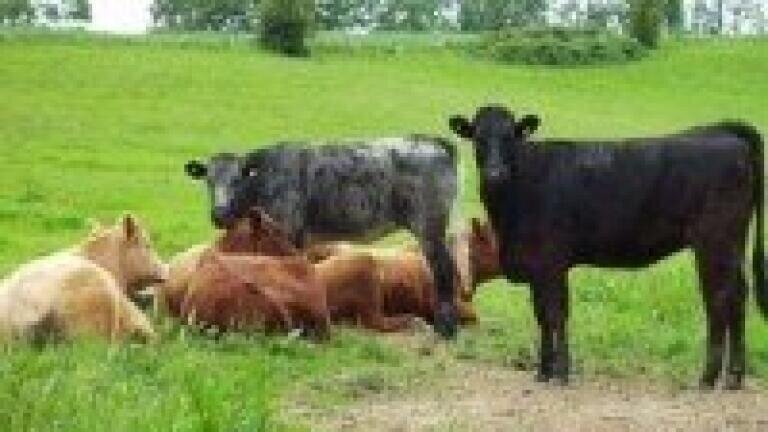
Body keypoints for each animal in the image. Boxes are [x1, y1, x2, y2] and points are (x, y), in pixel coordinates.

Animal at [184, 136, 460, 337]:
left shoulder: (289, 232)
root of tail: (434, 142)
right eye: (209, 181)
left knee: (443, 270)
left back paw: (446, 328)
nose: (218, 213)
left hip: (429, 227)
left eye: (236, 180)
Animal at [449, 105, 765, 389]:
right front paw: (543, 372)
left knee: (719, 300)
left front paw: (561, 374)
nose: (494, 173)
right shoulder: (537, 268)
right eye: (478, 137)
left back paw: (708, 378)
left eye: (510, 137)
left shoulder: (552, 262)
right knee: (738, 297)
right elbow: (541, 317)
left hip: (714, 242)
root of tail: (719, 131)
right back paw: (734, 378)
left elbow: (556, 315)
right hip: (732, 245)